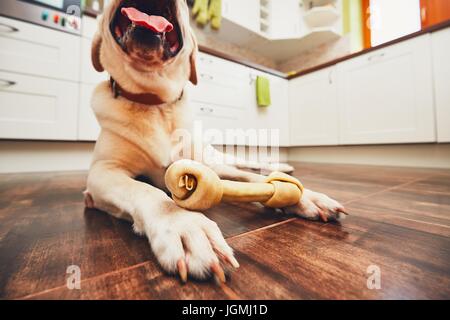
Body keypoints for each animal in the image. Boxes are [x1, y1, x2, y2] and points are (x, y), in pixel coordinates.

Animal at [86, 0, 346, 284]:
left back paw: (283, 168)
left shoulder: (204, 166)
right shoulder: (103, 171)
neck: (155, 102)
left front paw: (304, 197)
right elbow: (146, 191)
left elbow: (253, 180)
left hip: (218, 161)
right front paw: (184, 224)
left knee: (247, 167)